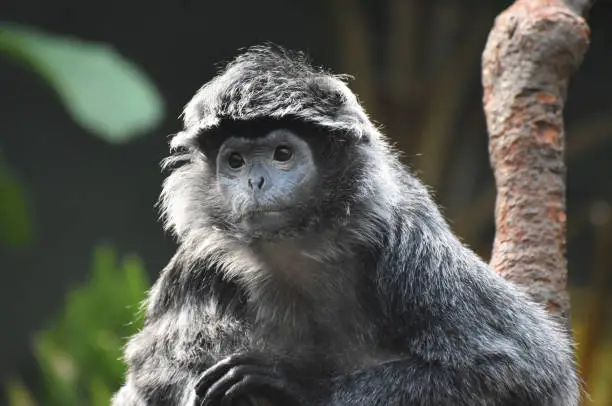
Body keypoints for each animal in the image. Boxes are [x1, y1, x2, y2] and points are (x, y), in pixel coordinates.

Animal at [113, 45, 580, 406]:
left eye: (283, 154)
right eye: (236, 161)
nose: (255, 181)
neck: (296, 247)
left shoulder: (407, 246)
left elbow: (521, 367)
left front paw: (296, 386)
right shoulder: (199, 260)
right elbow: (148, 381)